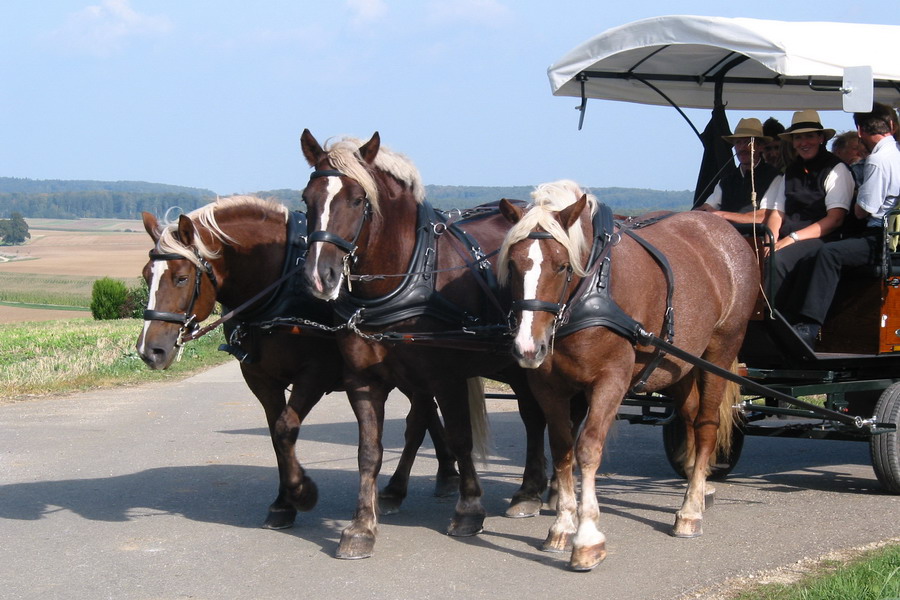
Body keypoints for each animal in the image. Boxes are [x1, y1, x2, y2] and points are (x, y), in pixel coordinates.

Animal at [136, 196, 460, 528]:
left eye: (182, 278)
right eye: (147, 274)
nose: (150, 351)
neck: (280, 285)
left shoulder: (315, 374)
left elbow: (285, 428)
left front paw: (301, 493)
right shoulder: (259, 378)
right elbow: (277, 436)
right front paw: (283, 503)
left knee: (417, 422)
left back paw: (399, 488)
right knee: (428, 415)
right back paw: (445, 474)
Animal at [298, 129, 548, 560]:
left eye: (358, 200)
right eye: (306, 199)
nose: (319, 275)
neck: (408, 275)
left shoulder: (446, 379)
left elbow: (461, 437)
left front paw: (469, 509)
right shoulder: (365, 381)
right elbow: (370, 450)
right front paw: (361, 526)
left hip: (521, 363)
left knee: (535, 417)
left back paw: (531, 492)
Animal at [500, 179, 760, 572]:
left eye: (561, 266)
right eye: (514, 265)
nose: (528, 348)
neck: (593, 290)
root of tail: (724, 232)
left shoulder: (611, 381)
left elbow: (588, 449)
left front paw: (587, 539)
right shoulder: (549, 388)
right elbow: (562, 450)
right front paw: (562, 526)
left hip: (720, 349)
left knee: (706, 425)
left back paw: (691, 510)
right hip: (679, 363)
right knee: (688, 417)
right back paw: (697, 490)